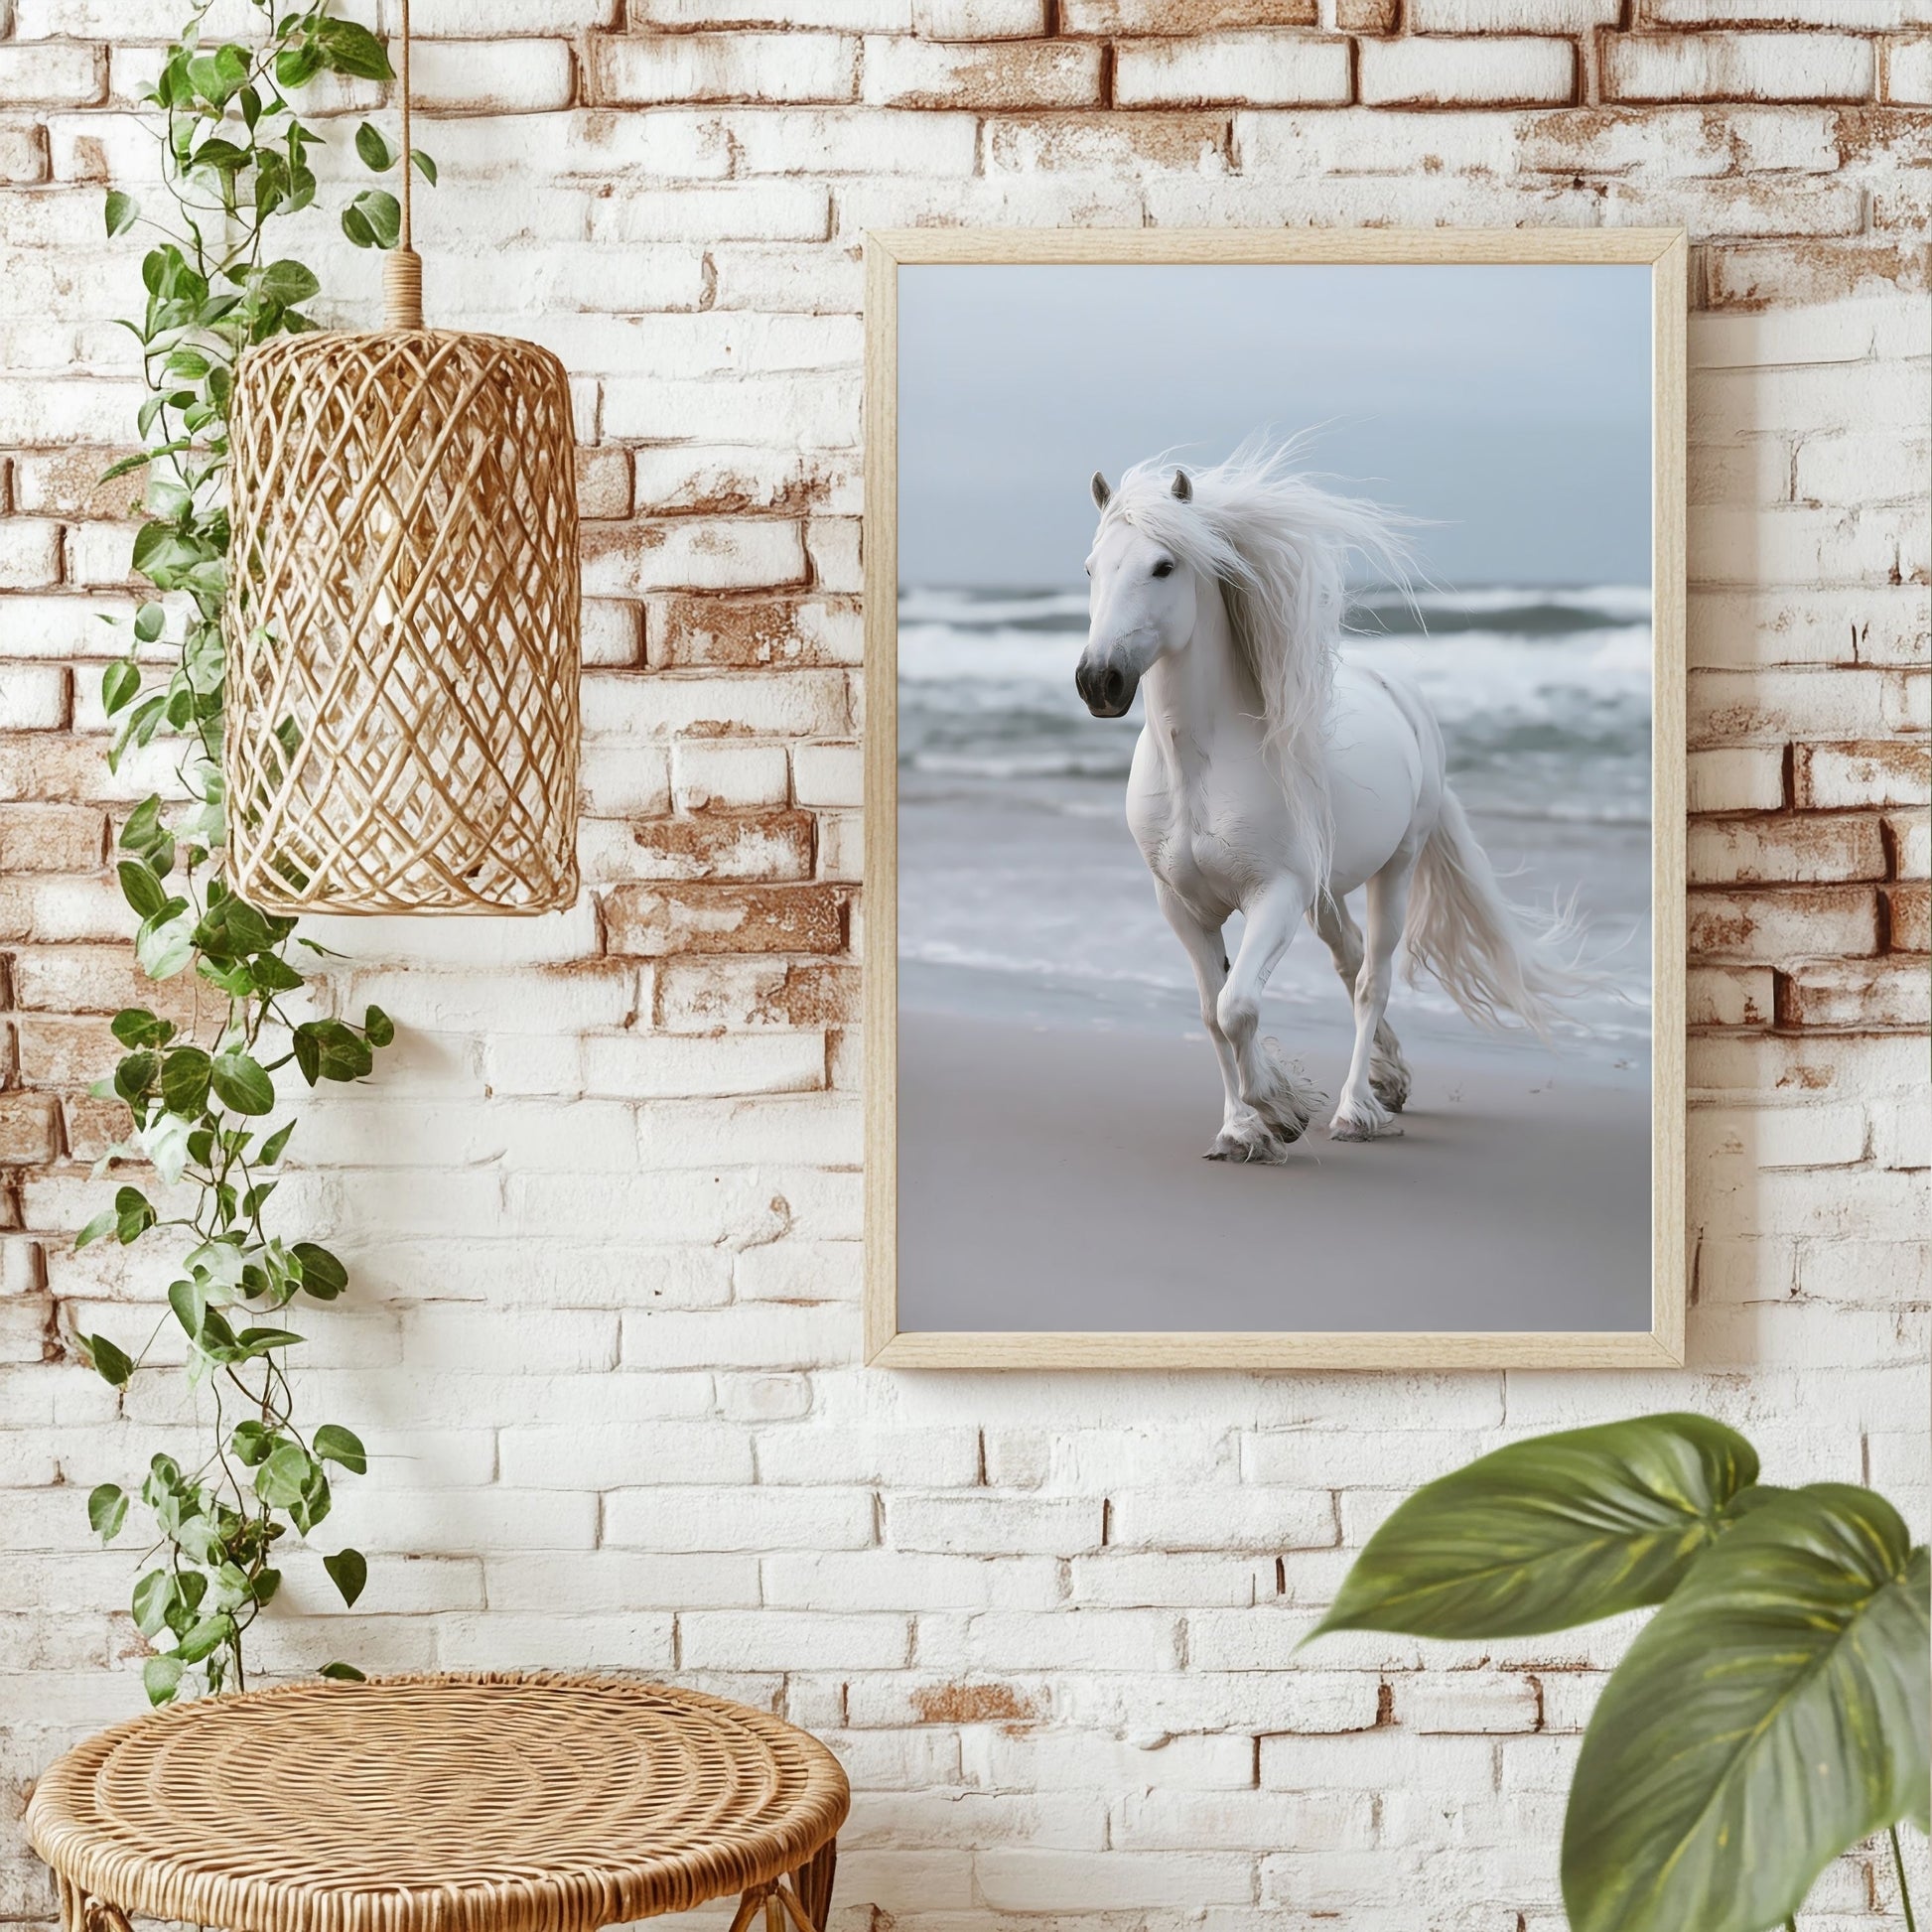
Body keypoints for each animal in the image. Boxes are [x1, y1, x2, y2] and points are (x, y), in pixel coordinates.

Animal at [1075, 440, 1589, 1162]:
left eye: (1163, 566)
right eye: (1092, 567)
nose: (1099, 680)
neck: (1199, 772)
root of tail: (1402, 693)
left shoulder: (1276, 896)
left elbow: (1237, 1006)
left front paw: (1283, 1111)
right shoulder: (1180, 906)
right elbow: (1210, 1013)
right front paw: (1239, 1130)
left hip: (1393, 869)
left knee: (1372, 979)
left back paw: (1354, 1110)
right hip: (1325, 891)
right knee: (1348, 964)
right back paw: (1387, 1080)